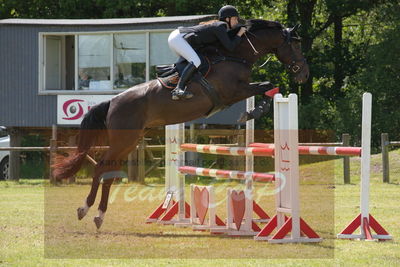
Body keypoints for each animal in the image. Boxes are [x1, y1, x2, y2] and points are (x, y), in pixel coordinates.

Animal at [53, 18, 310, 229]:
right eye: (295, 45)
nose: (304, 75)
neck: (236, 54)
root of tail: (113, 101)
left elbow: (268, 86)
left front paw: (255, 110)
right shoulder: (233, 92)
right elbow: (267, 85)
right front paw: (254, 111)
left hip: (130, 142)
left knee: (108, 172)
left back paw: (99, 215)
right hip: (123, 140)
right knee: (100, 167)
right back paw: (85, 209)